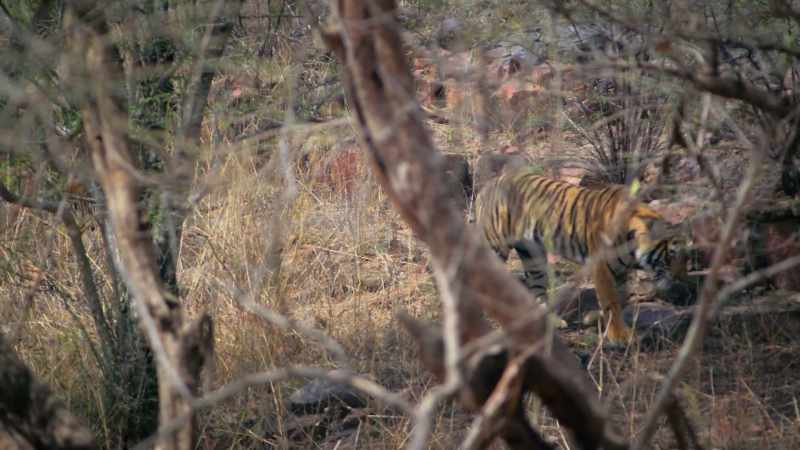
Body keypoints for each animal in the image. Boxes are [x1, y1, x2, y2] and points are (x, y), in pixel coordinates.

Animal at [474, 166, 686, 343]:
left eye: (687, 257)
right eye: (671, 255)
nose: (681, 279)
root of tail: (487, 187)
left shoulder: (620, 271)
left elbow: (620, 297)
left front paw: (594, 318)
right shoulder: (601, 265)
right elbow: (610, 299)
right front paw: (619, 336)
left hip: (533, 256)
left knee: (537, 288)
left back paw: (551, 322)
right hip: (496, 247)